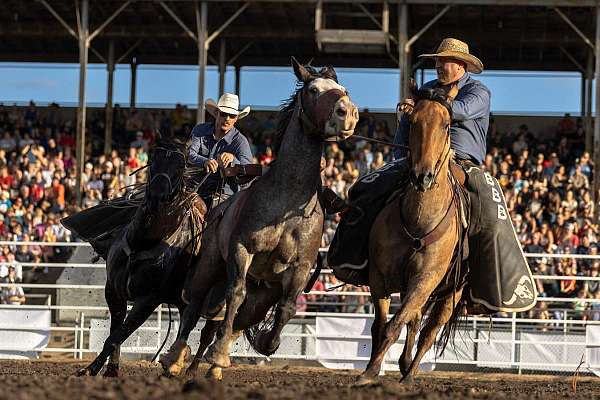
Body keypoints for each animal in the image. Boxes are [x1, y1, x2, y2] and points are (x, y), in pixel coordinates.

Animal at [61, 138, 206, 378]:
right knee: (185, 328)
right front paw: (109, 369)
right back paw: (173, 364)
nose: (157, 196)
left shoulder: (148, 300)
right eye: (153, 160)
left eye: (180, 166)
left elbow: (117, 336)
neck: (144, 242)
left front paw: (91, 369)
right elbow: (115, 332)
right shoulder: (113, 291)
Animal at [358, 81, 466, 384]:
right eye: (414, 121)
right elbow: (381, 326)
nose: (423, 176)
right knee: (415, 321)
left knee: (429, 332)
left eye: (447, 125)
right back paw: (405, 364)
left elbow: (395, 325)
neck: (419, 222)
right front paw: (370, 371)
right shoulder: (379, 277)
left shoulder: (424, 280)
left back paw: (409, 375)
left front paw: (374, 370)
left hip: (451, 294)